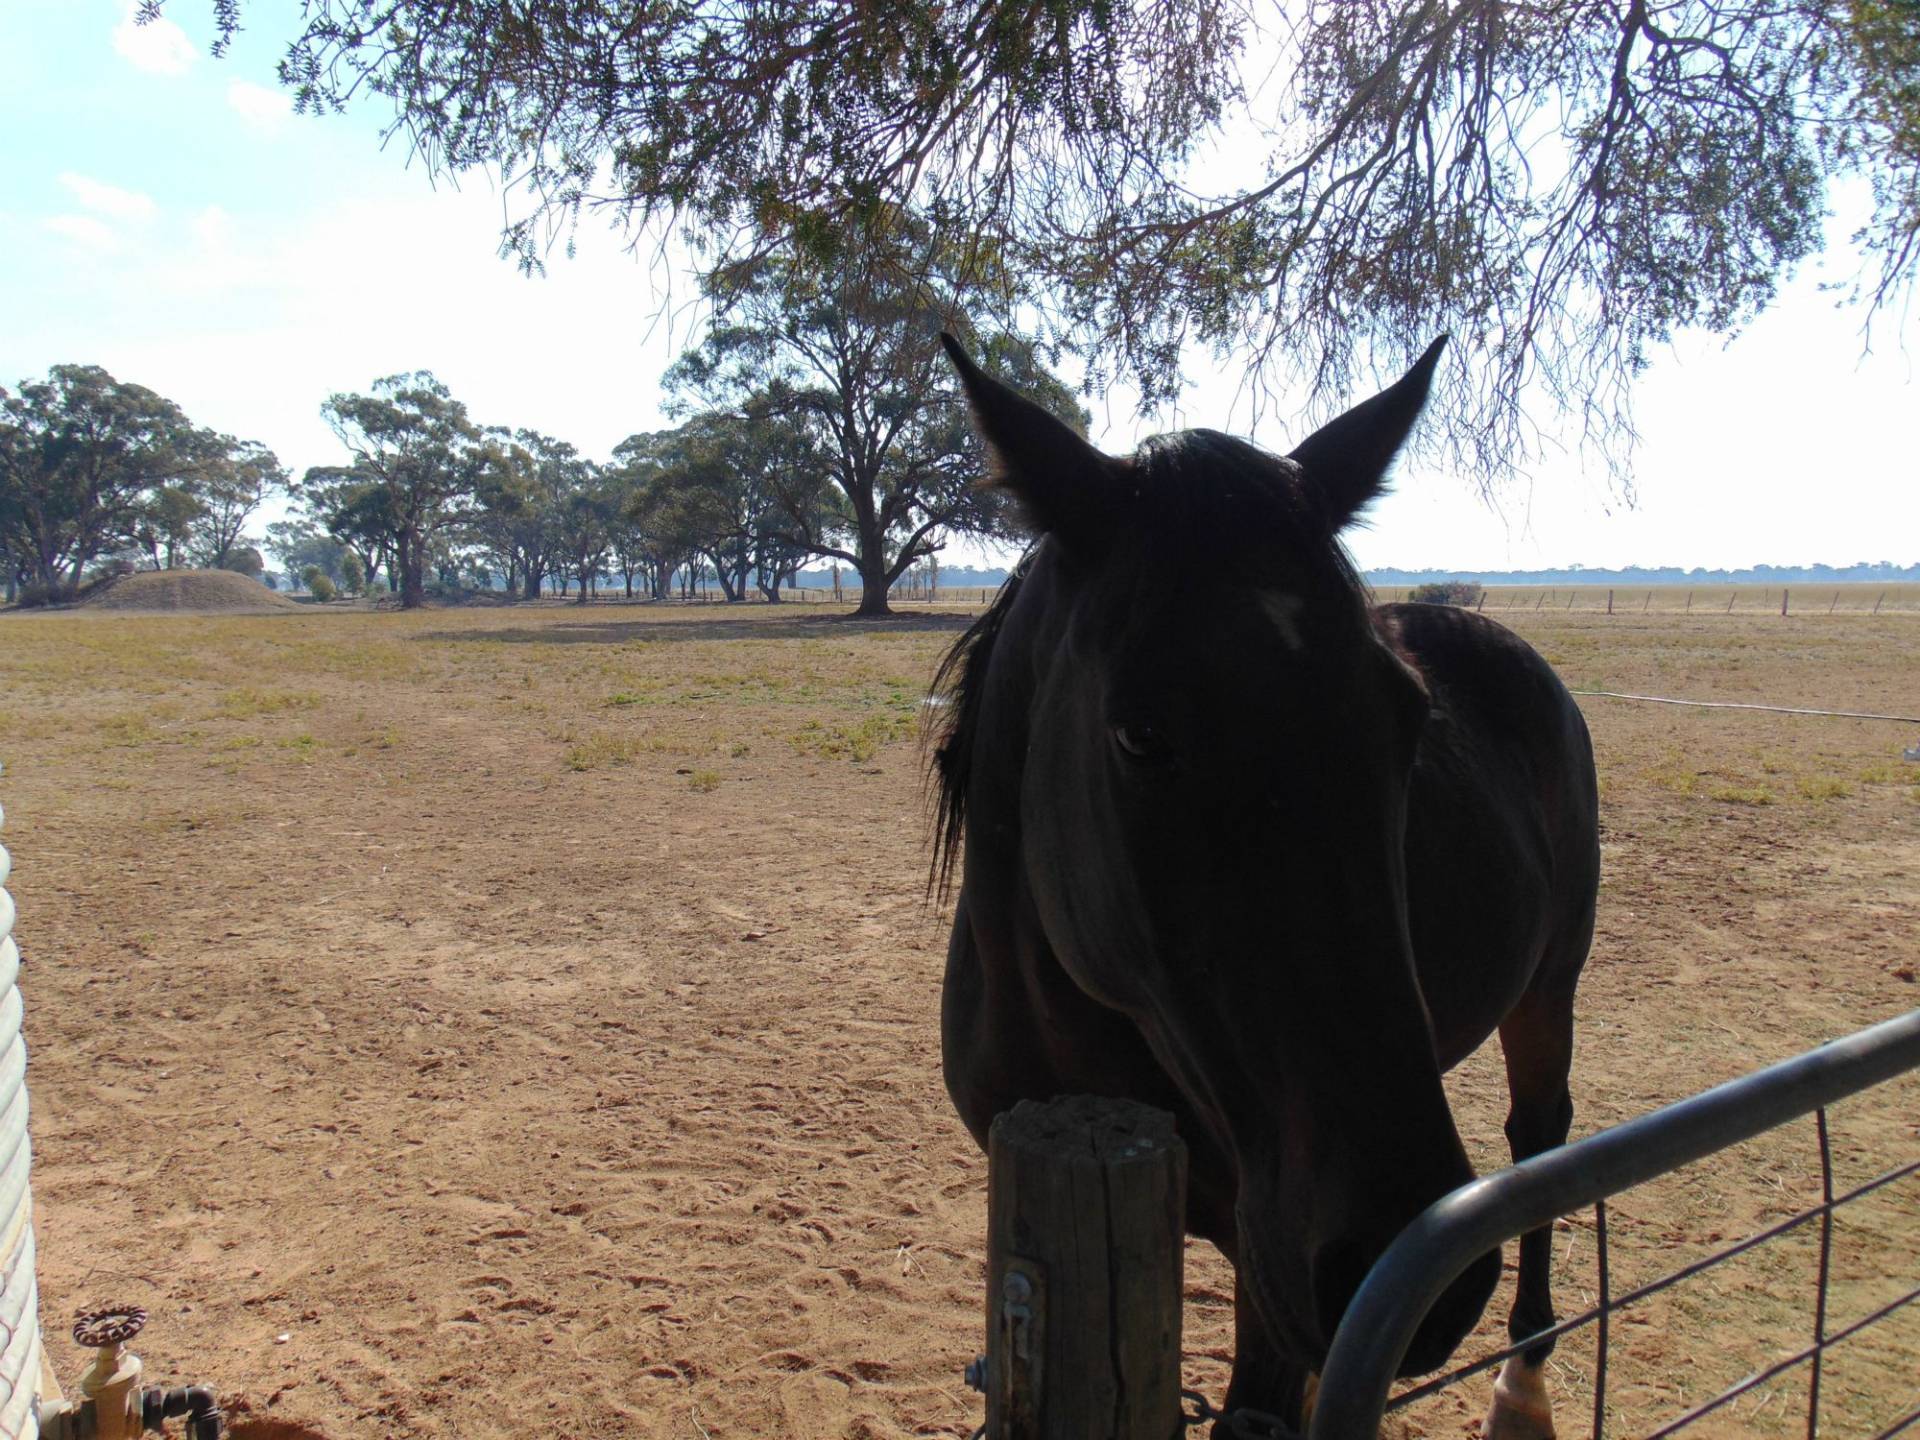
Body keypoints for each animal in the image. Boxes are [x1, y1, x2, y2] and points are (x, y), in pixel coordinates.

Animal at [931, 334, 1600, 1439]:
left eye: (1408, 720)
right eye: (1140, 733)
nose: (1386, 1256)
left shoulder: (1269, 1265)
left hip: (1547, 990)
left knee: (1539, 1135)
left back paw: (1525, 1379)